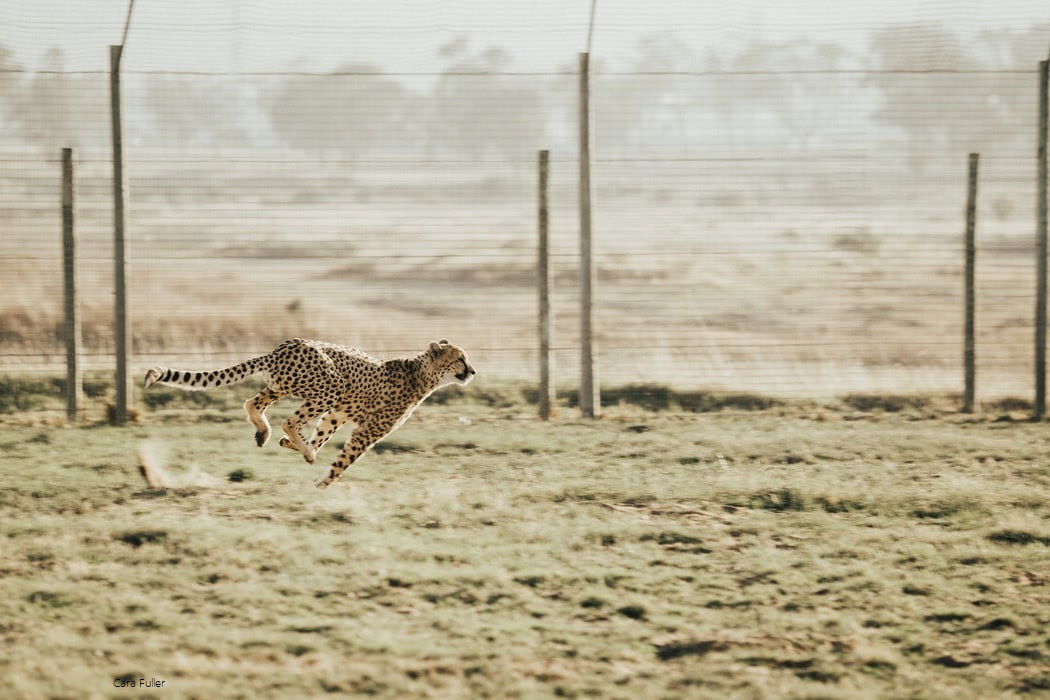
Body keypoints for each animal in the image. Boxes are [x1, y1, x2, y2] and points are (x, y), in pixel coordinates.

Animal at [141, 340, 478, 486]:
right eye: (460, 359)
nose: (473, 371)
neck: (421, 373)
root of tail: (283, 346)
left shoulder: (338, 414)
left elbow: (323, 434)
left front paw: (299, 448)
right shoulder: (366, 430)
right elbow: (344, 459)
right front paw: (322, 482)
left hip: (285, 386)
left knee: (253, 403)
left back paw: (267, 434)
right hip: (330, 385)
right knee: (289, 419)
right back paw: (297, 445)